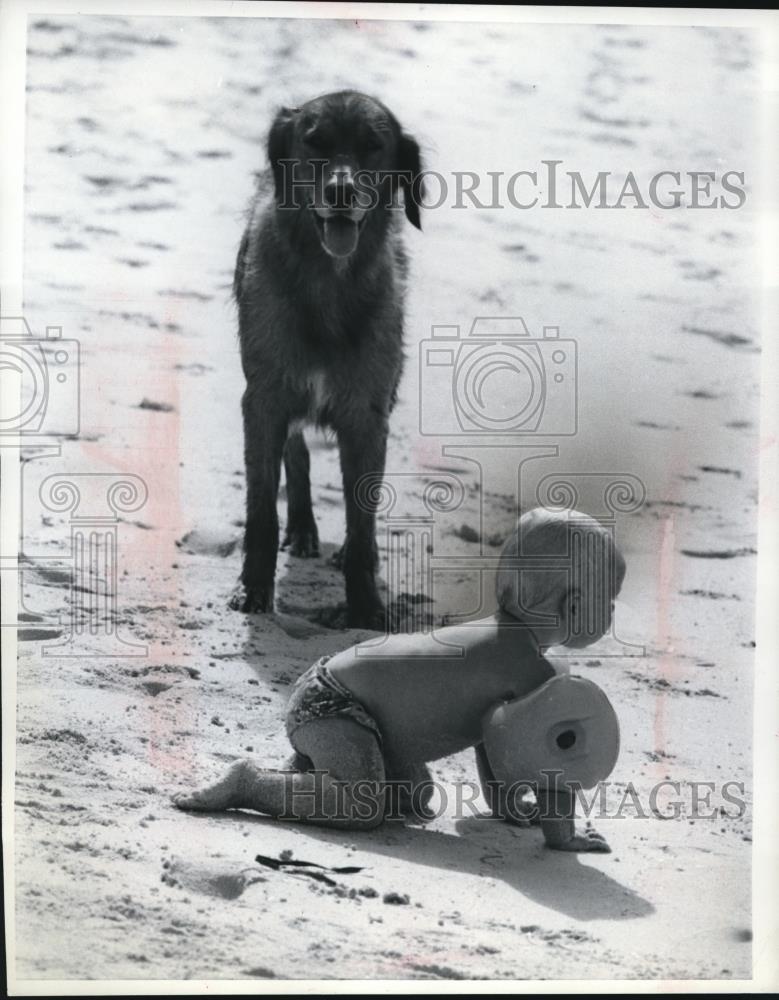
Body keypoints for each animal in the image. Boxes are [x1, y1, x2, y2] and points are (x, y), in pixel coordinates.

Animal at [229, 92, 424, 624]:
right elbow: (261, 509)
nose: (340, 192)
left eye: (373, 147)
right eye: (315, 143)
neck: (328, 283)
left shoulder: (368, 415)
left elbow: (362, 521)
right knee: (295, 456)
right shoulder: (265, 400)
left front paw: (365, 607)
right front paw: (253, 589)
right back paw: (302, 528)